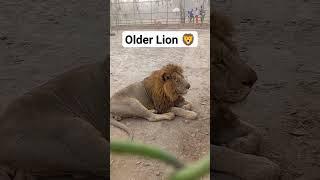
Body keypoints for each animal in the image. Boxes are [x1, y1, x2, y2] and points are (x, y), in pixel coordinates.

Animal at [211, 10, 282, 180]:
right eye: (217, 62)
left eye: (235, 50)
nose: (254, 80)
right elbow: (220, 153)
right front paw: (261, 167)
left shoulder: (223, 118)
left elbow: (258, 132)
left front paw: (238, 145)